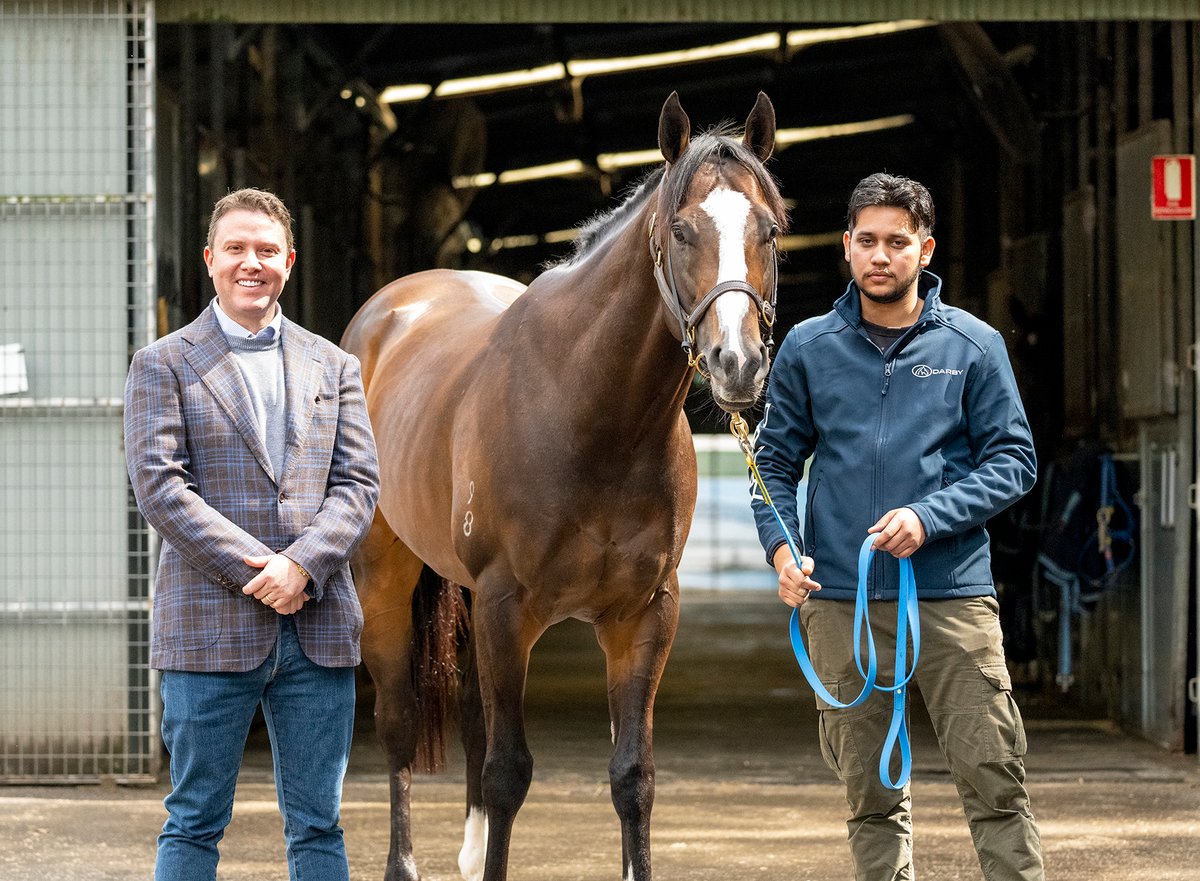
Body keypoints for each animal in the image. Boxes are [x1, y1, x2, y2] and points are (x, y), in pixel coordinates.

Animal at [338, 91, 787, 881]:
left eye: (768, 229)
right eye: (681, 229)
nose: (737, 364)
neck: (591, 414)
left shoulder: (644, 614)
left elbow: (632, 776)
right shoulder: (506, 606)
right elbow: (509, 774)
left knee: (474, 719)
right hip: (386, 578)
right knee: (399, 725)